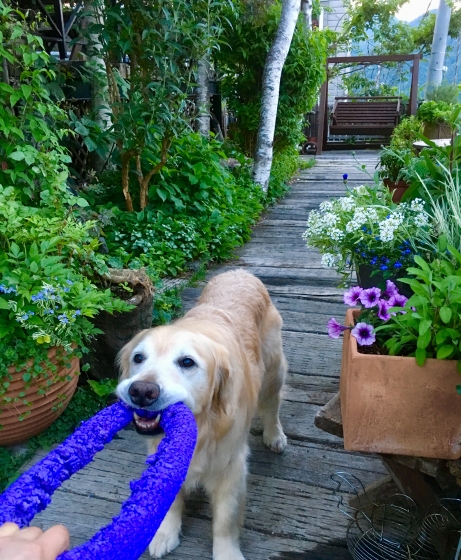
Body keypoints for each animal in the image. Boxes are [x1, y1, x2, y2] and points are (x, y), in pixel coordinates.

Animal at [116, 269, 287, 560]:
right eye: (138, 358)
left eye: (187, 362)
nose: (141, 391)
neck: (202, 427)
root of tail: (240, 272)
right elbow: (171, 501)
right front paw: (165, 533)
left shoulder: (231, 467)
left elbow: (225, 520)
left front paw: (227, 553)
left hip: (273, 369)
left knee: (272, 404)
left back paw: (274, 435)